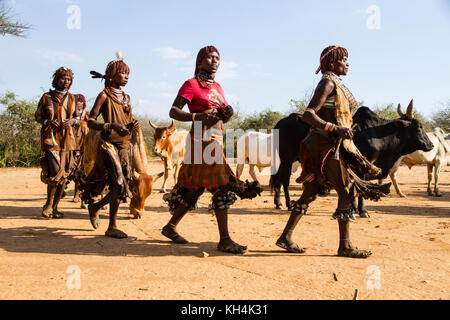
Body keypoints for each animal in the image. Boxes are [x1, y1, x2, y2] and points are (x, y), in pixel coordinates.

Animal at [268, 100, 434, 215]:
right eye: (418, 126)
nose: (431, 145)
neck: (376, 133)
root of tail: (280, 123)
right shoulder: (363, 165)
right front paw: (362, 211)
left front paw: (352, 208)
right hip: (287, 158)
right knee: (284, 179)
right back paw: (288, 204)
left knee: (278, 179)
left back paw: (279, 203)